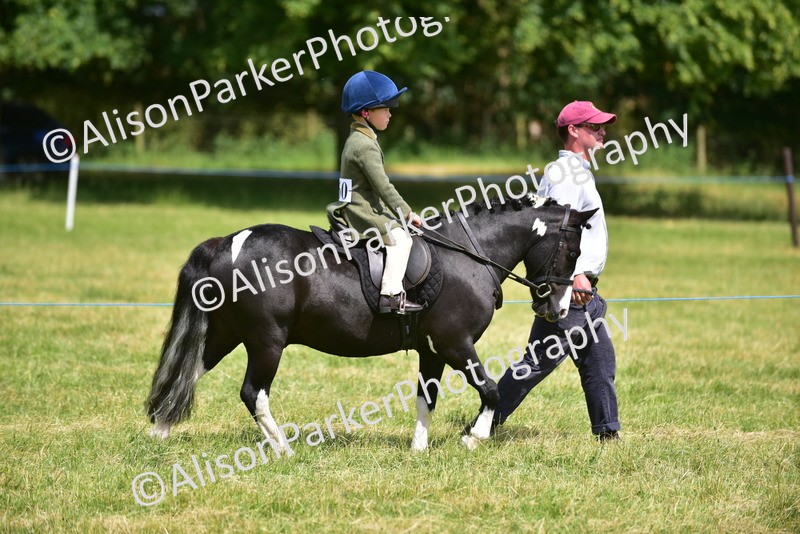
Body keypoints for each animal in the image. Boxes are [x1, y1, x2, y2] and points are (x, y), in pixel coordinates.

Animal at [146, 193, 594, 452]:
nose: (558, 309)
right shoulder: (456, 343)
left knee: (188, 372)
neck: (468, 256)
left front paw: (418, 451)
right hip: (266, 342)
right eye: (572, 251)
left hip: (223, 334)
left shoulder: (433, 350)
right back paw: (284, 448)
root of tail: (228, 242)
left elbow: (426, 398)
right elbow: (490, 390)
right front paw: (474, 437)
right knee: (252, 392)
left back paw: (159, 433)